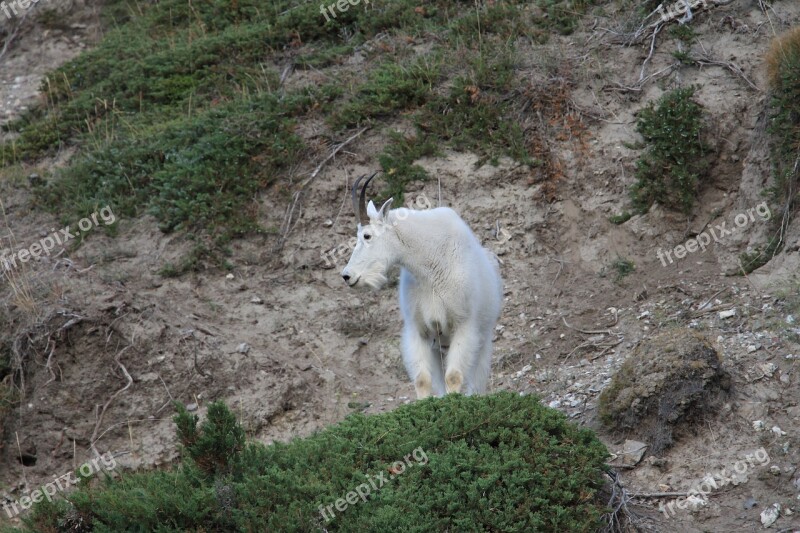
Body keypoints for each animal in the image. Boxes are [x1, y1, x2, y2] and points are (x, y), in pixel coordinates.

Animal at [340, 172, 504, 396]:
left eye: (367, 235)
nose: (347, 276)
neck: (431, 264)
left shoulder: (464, 325)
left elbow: (454, 377)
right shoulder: (420, 331)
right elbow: (423, 380)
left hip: (483, 338)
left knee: (477, 382)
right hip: (439, 346)